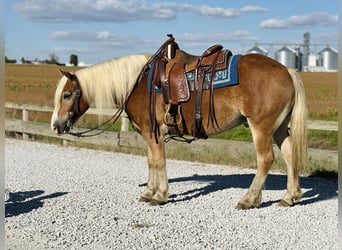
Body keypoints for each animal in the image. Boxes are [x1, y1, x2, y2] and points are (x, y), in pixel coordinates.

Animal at [50, 37, 308, 209]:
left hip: (261, 127)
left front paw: (159, 195)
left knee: (266, 159)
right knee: (289, 155)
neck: (138, 82)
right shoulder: (150, 134)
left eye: (67, 95)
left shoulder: (152, 131)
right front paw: (149, 192)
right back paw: (290, 197)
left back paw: (249, 200)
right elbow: (151, 162)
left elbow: (158, 161)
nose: (55, 125)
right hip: (279, 128)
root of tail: (287, 71)